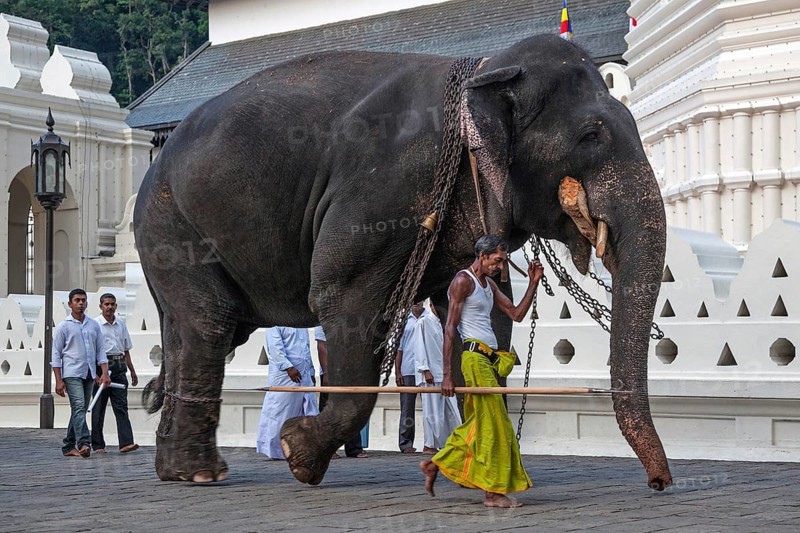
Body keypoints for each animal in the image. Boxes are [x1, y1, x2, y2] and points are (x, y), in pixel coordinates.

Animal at [134, 33, 672, 490]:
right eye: (591, 136)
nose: (659, 483)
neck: (486, 67)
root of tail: (153, 165)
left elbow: (480, 317)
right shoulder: (383, 193)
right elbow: (342, 298)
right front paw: (297, 453)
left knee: (195, 332)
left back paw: (177, 468)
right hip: (173, 225)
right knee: (211, 325)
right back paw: (202, 474)